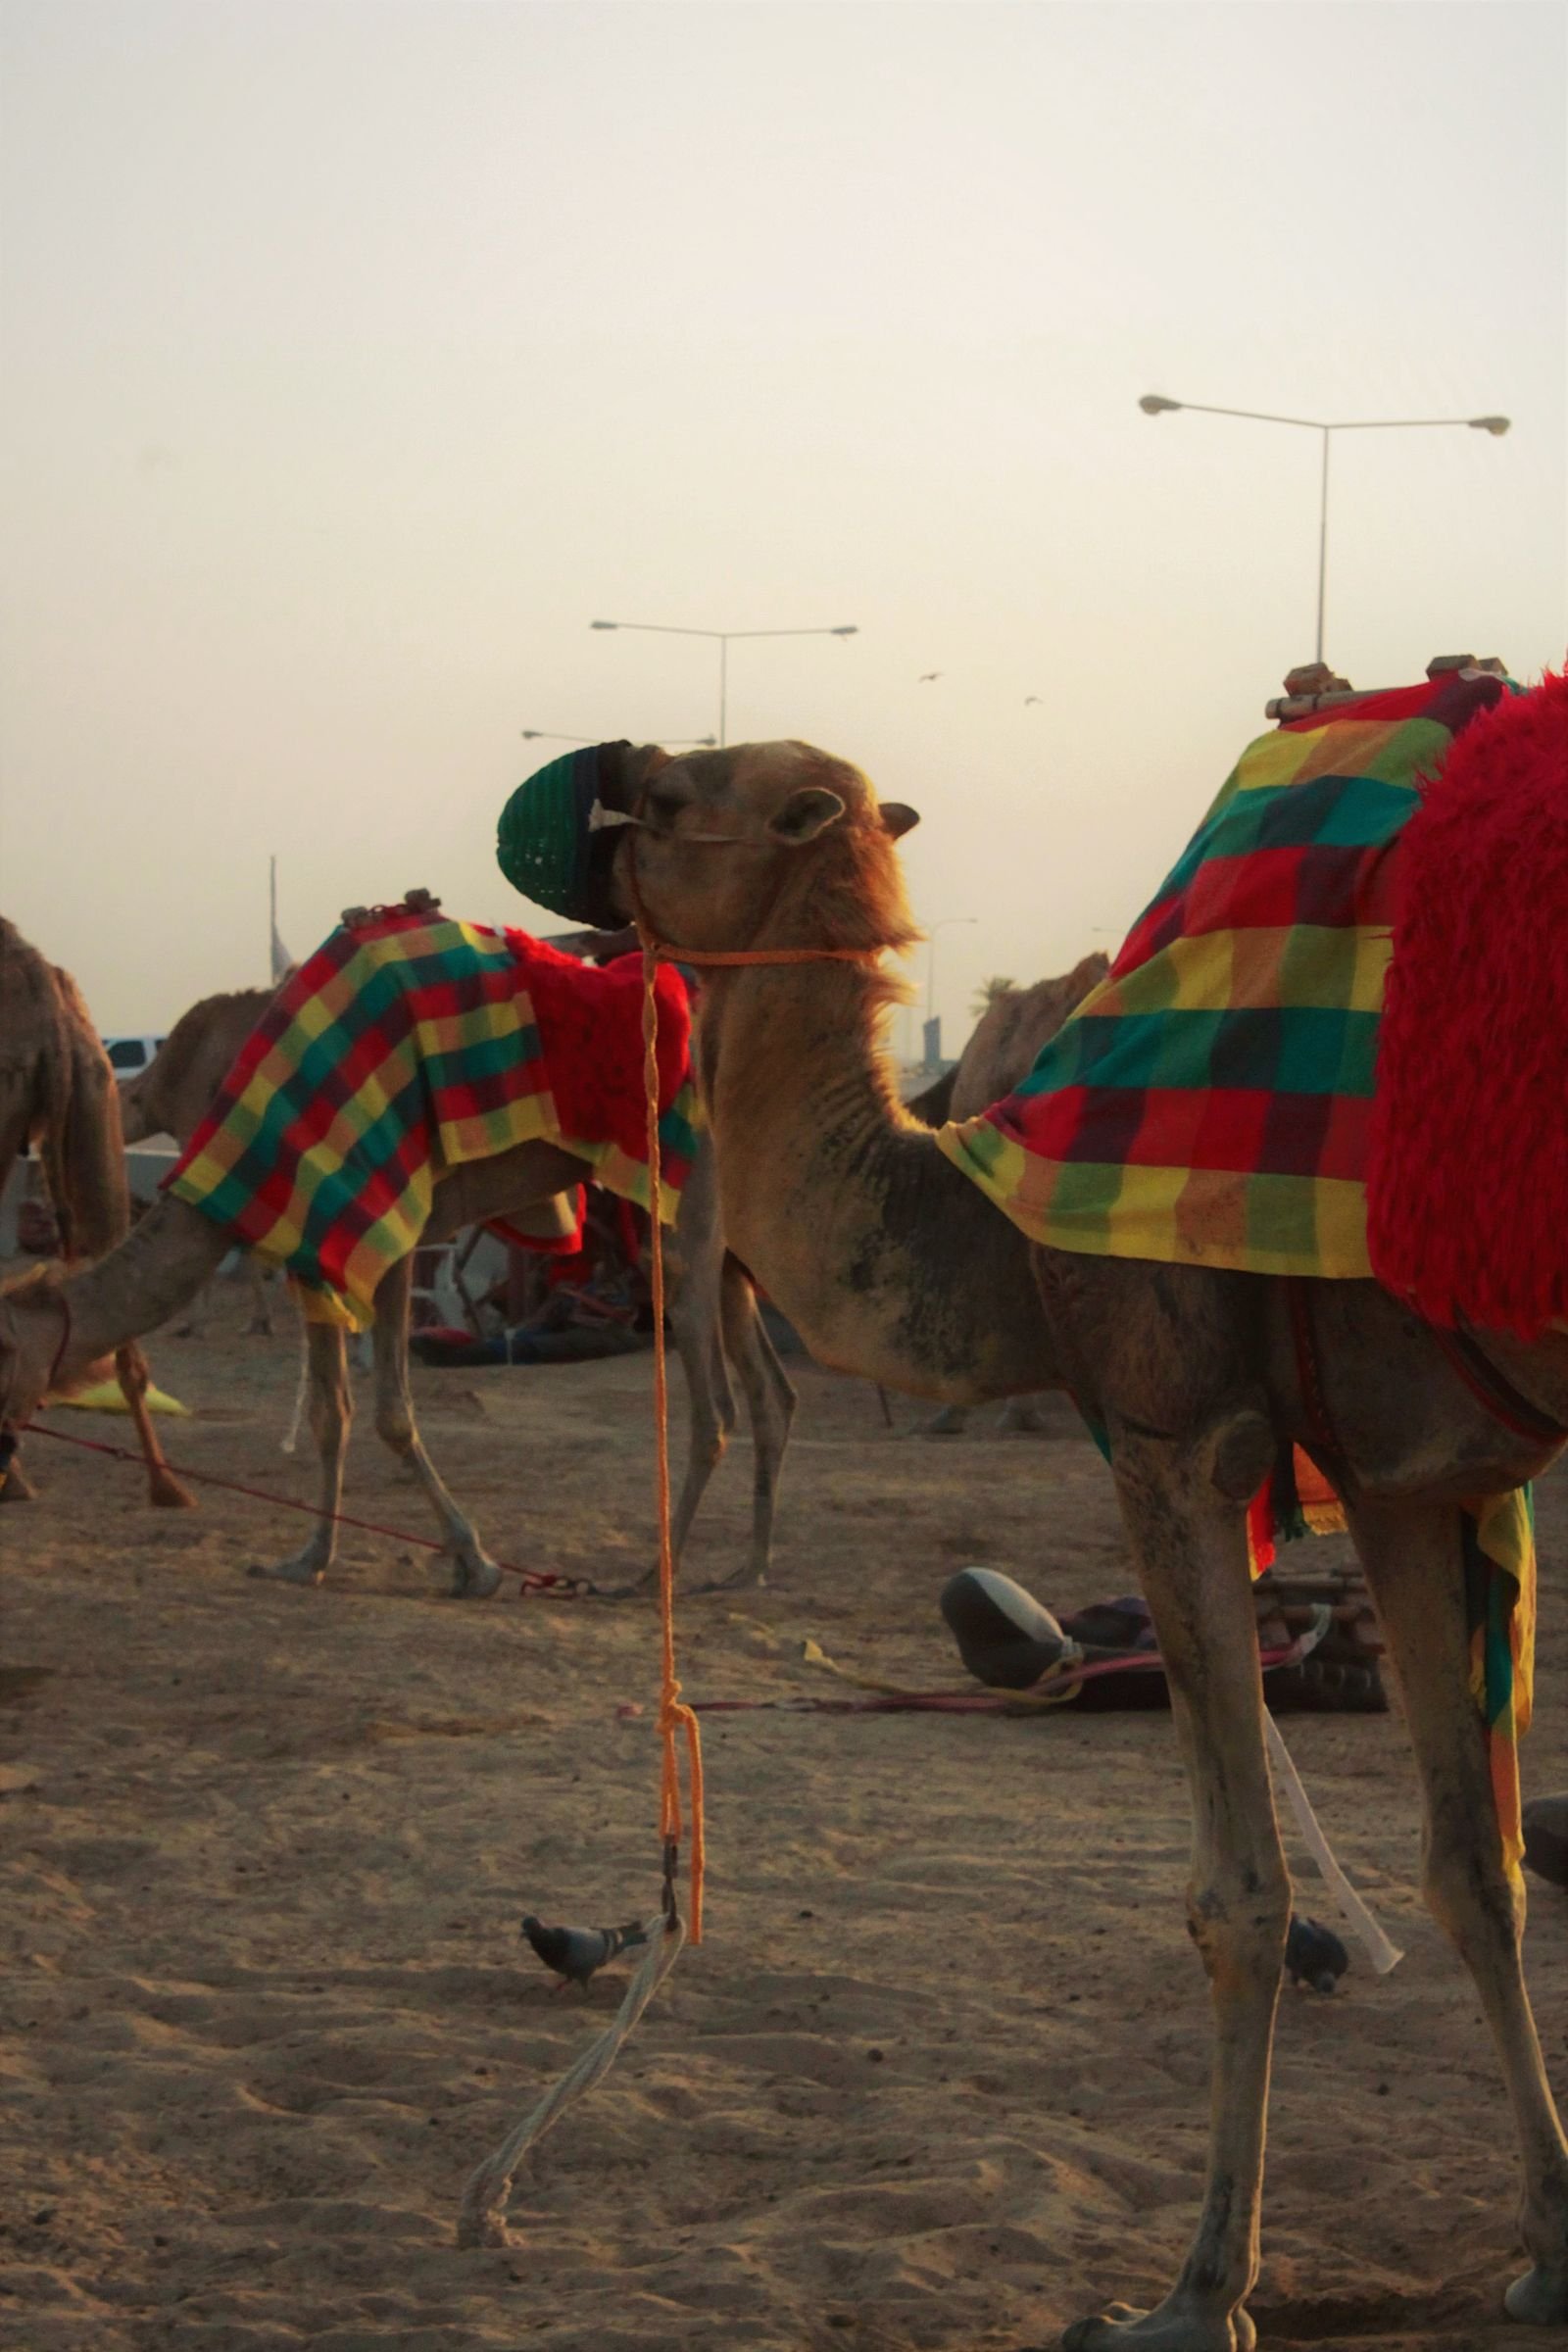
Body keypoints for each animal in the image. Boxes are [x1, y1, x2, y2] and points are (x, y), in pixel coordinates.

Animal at [93, 974, 794, 1594]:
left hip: (687, 1185)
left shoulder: (383, 1225)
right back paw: (748, 1569)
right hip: (729, 1225)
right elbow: (329, 1410)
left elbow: (390, 1413)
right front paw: (309, 1560)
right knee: (771, 1389)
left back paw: (652, 1577)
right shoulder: (306, 1244)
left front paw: (473, 1563)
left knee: (712, 1395)